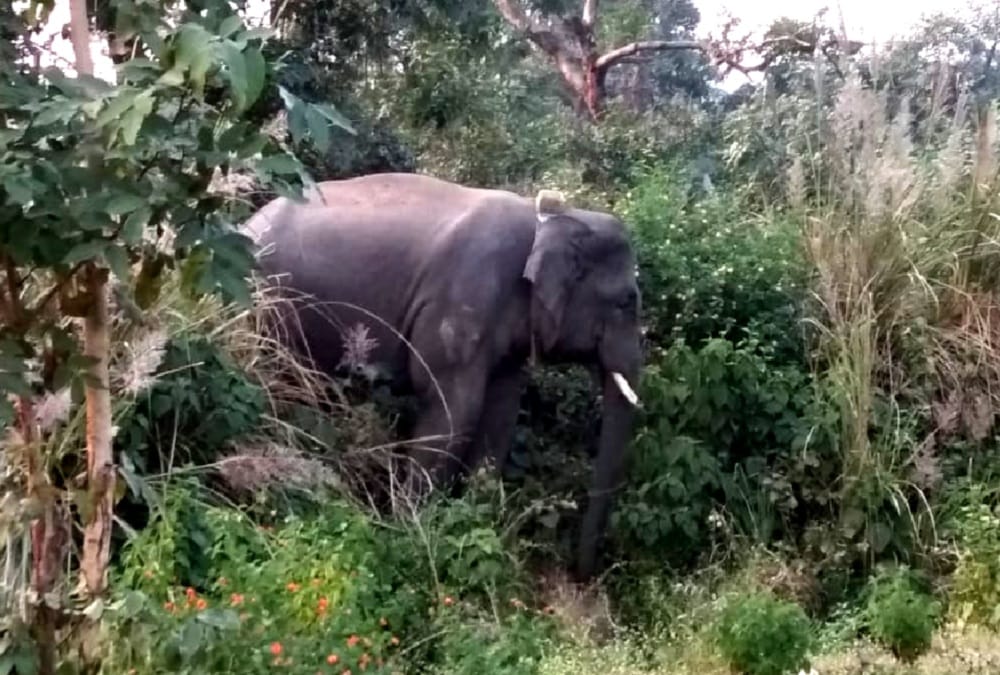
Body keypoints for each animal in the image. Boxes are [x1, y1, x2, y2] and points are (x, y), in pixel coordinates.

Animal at [243, 172, 642, 579]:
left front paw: (478, 522)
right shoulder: (462, 301)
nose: (581, 573)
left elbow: (500, 415)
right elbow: (453, 410)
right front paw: (411, 534)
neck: (549, 217)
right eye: (627, 301)